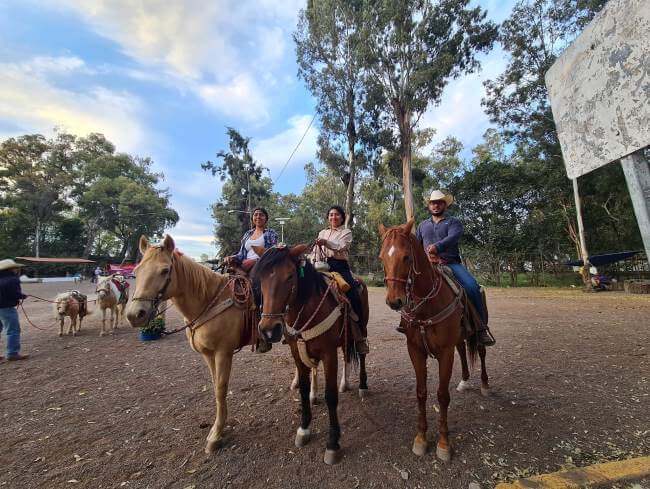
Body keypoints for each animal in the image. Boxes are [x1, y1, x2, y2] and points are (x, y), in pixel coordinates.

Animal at [253, 244, 370, 466]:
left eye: (290, 276)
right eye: (260, 277)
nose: (269, 330)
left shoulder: (328, 354)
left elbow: (331, 396)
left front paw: (333, 443)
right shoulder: (297, 354)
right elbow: (303, 389)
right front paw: (304, 428)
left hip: (362, 328)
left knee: (361, 354)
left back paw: (362, 386)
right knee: (347, 356)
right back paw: (345, 384)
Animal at [374, 220, 486, 462]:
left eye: (406, 257)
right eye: (381, 257)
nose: (394, 301)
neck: (427, 305)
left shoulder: (445, 352)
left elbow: (442, 396)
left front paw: (444, 443)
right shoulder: (415, 350)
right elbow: (421, 392)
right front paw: (421, 438)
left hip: (478, 333)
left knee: (481, 352)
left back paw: (484, 384)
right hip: (459, 338)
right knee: (463, 351)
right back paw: (464, 381)